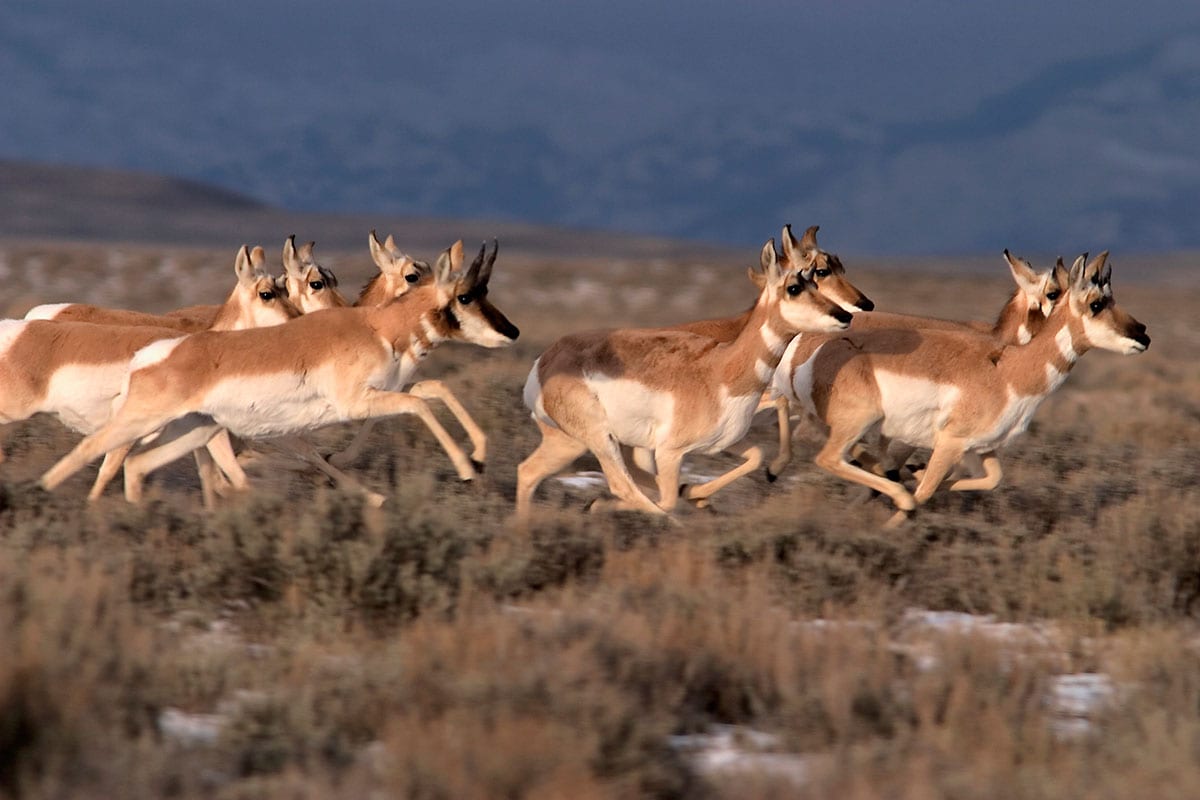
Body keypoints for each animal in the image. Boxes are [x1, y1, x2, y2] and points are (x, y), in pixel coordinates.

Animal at [515, 239, 852, 519]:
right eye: (794, 287)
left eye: (815, 280)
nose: (845, 315)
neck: (721, 370)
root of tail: (545, 361)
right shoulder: (669, 453)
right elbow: (665, 501)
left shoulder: (720, 444)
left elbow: (755, 456)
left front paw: (694, 492)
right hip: (600, 439)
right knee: (627, 488)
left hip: (570, 444)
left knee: (527, 472)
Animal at [777, 251, 1148, 526]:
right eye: (1096, 304)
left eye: (1113, 298)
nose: (1143, 335)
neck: (1008, 369)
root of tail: (815, 342)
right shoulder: (949, 443)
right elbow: (923, 493)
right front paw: (896, 515)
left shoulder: (983, 449)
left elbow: (991, 479)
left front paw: (915, 476)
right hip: (857, 420)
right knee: (826, 455)